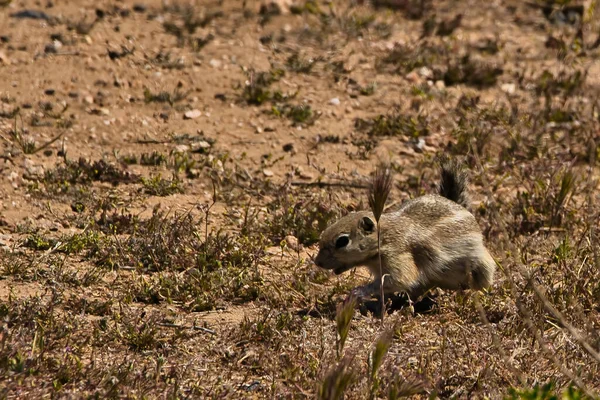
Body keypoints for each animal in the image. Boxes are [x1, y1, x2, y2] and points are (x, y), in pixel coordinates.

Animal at [314, 159, 496, 300]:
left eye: (342, 241)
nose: (317, 262)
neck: (385, 237)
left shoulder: (399, 257)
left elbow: (399, 280)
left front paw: (359, 291)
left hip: (482, 265)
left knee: (483, 283)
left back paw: (476, 294)